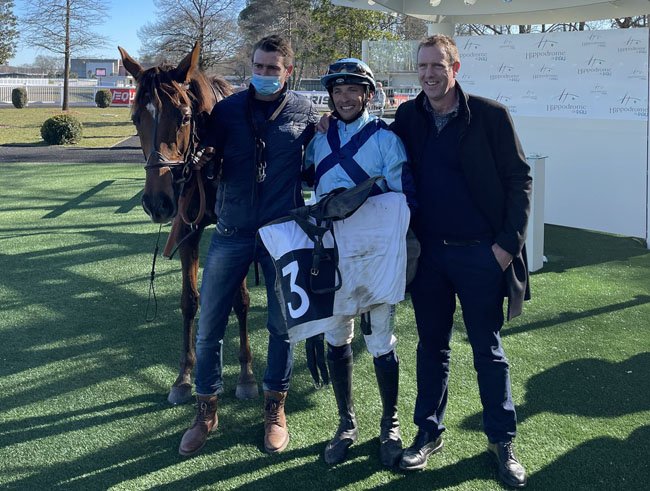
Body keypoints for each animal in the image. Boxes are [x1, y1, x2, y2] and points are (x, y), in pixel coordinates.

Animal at [118, 42, 257, 405]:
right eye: (135, 118)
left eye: (183, 116)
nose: (157, 202)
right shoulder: (187, 230)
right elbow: (190, 301)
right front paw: (184, 375)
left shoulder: (236, 232)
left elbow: (239, 299)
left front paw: (247, 373)